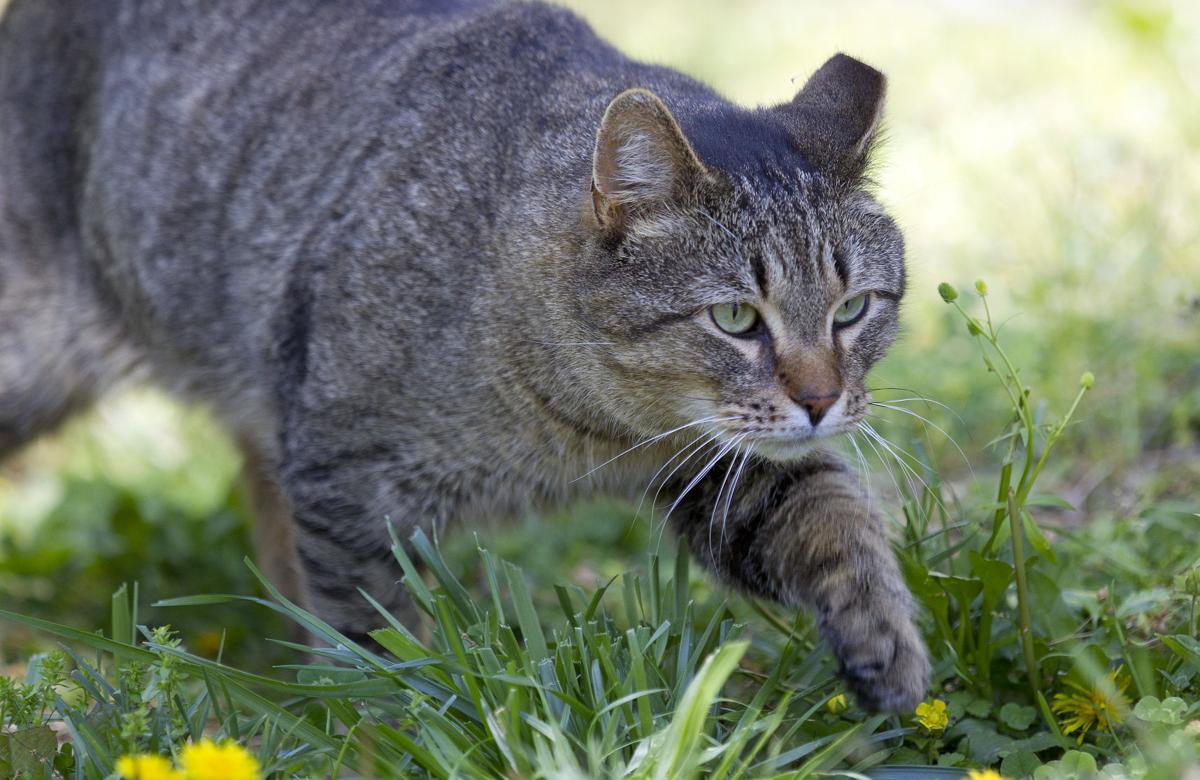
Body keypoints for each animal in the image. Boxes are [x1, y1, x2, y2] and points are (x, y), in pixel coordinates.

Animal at [0, 0, 931, 705]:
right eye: (736, 317)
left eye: (853, 309)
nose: (821, 400)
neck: (591, 430)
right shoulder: (350, 483)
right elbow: (370, 642)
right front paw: (375, 731)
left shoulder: (718, 467)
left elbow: (834, 516)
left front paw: (884, 637)